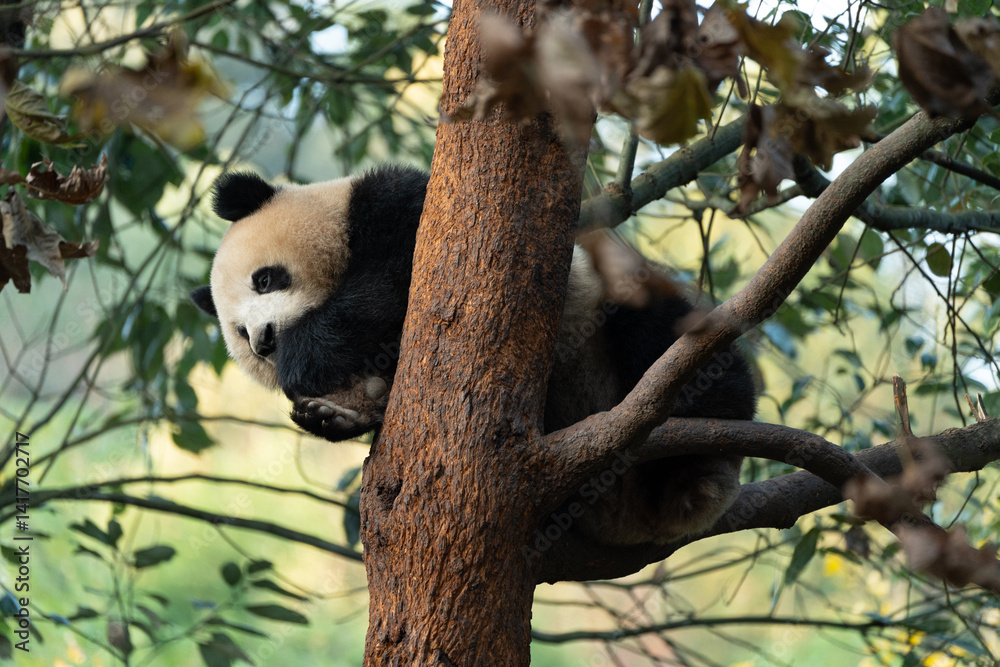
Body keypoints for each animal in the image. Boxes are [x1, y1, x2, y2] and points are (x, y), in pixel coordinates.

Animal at [191, 165, 757, 545]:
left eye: (265, 279)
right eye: (240, 334)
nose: (265, 339)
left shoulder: (400, 206)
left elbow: (396, 276)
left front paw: (306, 357)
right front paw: (339, 409)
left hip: (607, 315)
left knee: (666, 337)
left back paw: (698, 450)